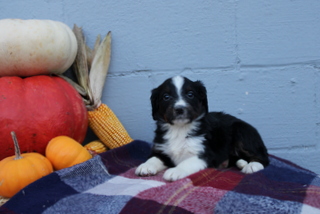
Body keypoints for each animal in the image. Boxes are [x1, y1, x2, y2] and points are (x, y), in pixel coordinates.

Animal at [134, 76, 268, 181]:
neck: (179, 129)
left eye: (190, 94)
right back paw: (241, 163)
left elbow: (187, 162)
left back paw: (252, 166)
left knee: (264, 158)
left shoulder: (204, 154)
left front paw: (175, 171)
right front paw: (146, 166)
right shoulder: (162, 150)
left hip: (242, 132)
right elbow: (154, 158)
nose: (179, 109)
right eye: (166, 97)